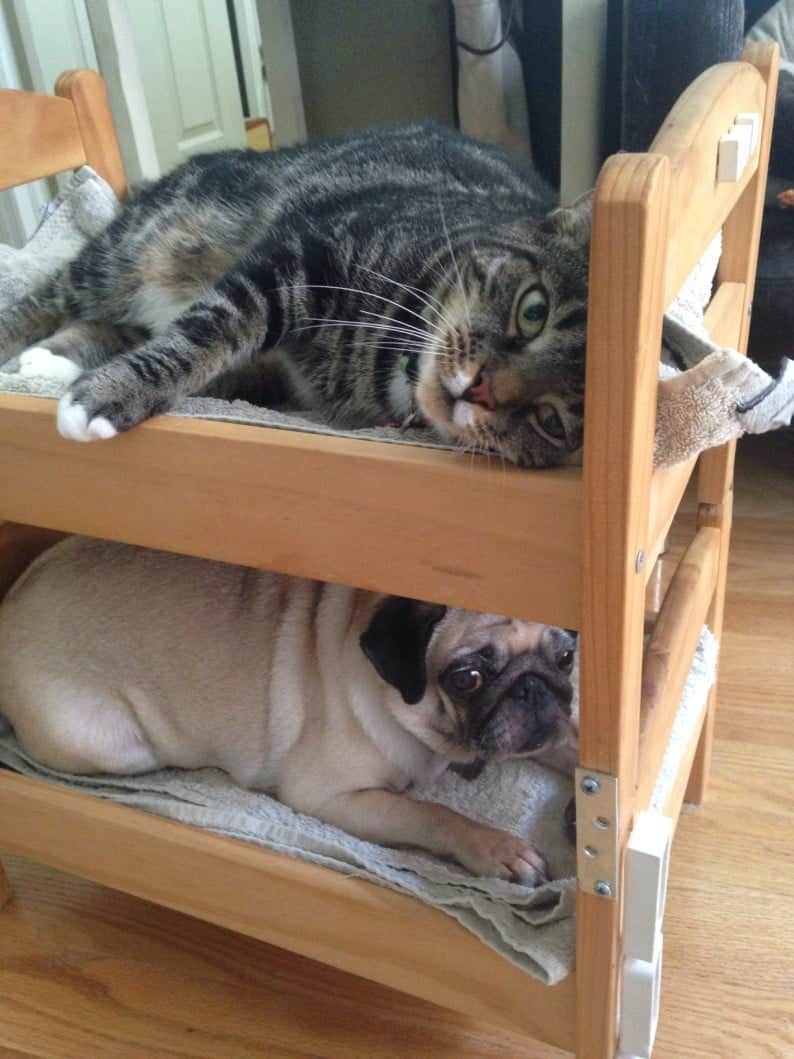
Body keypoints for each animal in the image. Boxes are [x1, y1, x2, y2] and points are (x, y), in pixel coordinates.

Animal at [0, 537, 580, 885]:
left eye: (566, 657)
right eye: (467, 678)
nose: (532, 688)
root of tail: (11, 602)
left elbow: (565, 739)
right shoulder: (330, 796)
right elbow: (433, 814)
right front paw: (495, 846)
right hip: (113, 744)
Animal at [1, 121, 592, 465]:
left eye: (552, 422)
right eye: (533, 311)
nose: (481, 391)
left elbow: (205, 353)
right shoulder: (300, 256)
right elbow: (208, 334)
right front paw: (110, 395)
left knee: (114, 324)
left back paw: (48, 361)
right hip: (139, 249)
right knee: (49, 296)